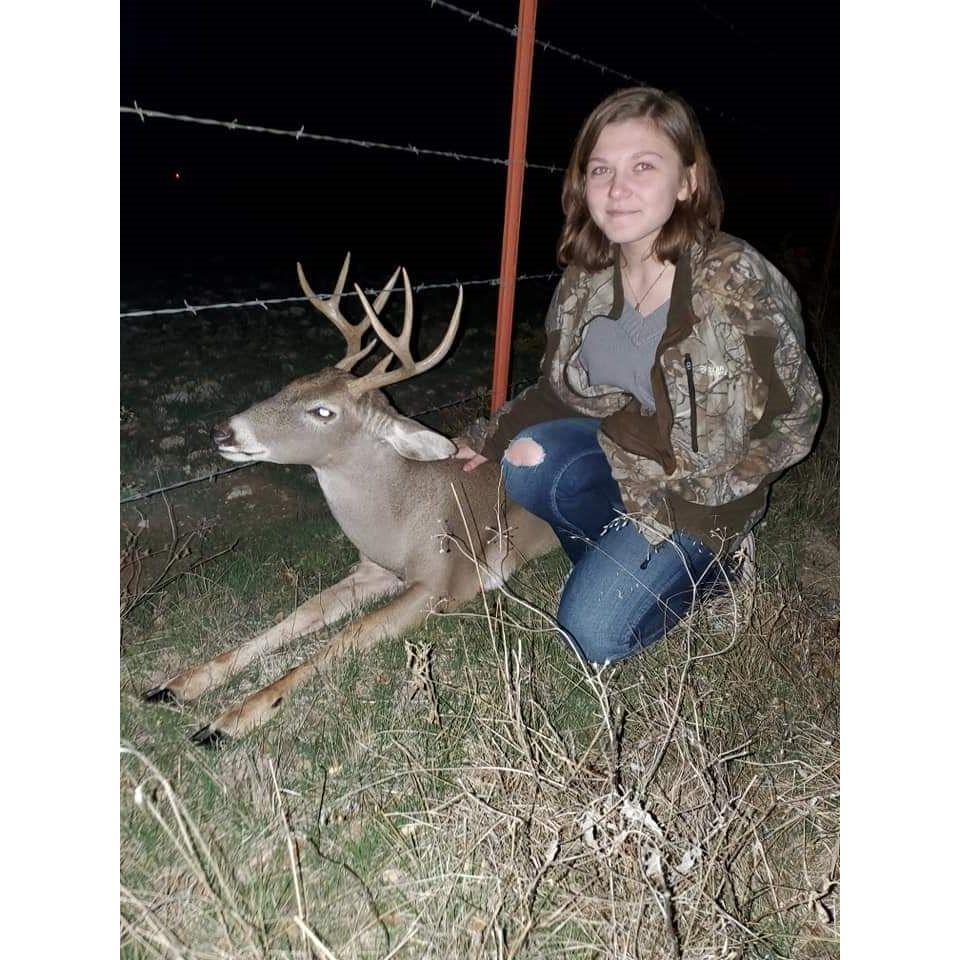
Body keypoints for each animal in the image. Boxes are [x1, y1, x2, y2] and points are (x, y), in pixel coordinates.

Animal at [144, 255, 559, 744]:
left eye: (324, 411)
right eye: (293, 383)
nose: (222, 431)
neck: (394, 524)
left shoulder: (443, 581)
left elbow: (350, 634)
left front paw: (231, 720)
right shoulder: (371, 571)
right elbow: (299, 615)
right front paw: (179, 684)